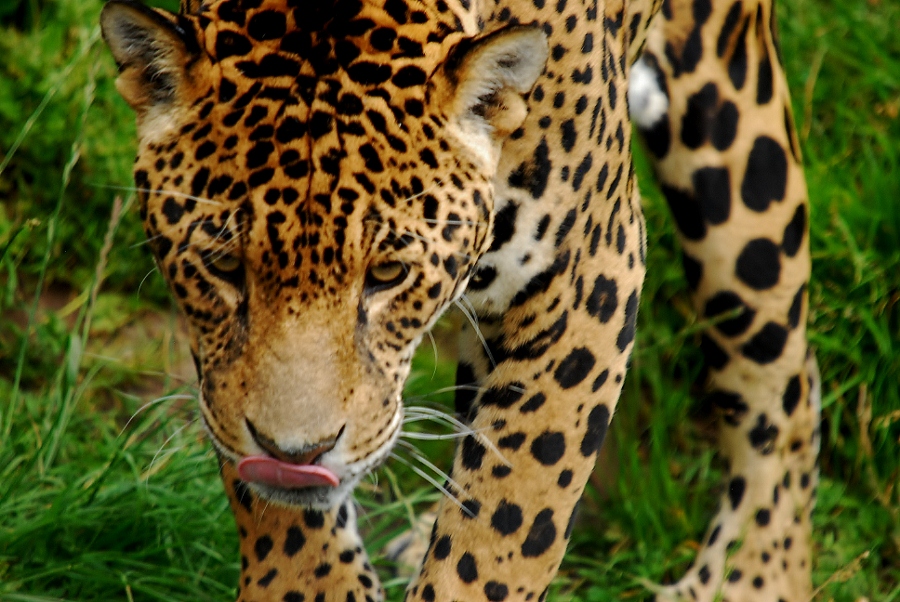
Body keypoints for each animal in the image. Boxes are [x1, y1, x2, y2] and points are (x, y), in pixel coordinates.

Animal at [100, 0, 820, 599]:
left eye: (388, 274)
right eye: (222, 266)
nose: (296, 457)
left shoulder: (586, 280)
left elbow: (510, 520)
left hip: (734, 148)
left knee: (783, 376)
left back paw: (749, 577)